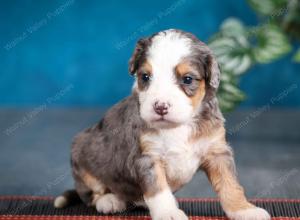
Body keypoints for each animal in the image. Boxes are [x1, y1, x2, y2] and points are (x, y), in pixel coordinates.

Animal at [54, 29, 272, 220]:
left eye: (187, 79)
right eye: (145, 77)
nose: (160, 107)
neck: (178, 127)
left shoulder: (217, 151)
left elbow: (230, 184)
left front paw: (244, 210)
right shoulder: (147, 157)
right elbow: (158, 189)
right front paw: (168, 213)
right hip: (81, 151)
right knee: (93, 193)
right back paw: (109, 200)